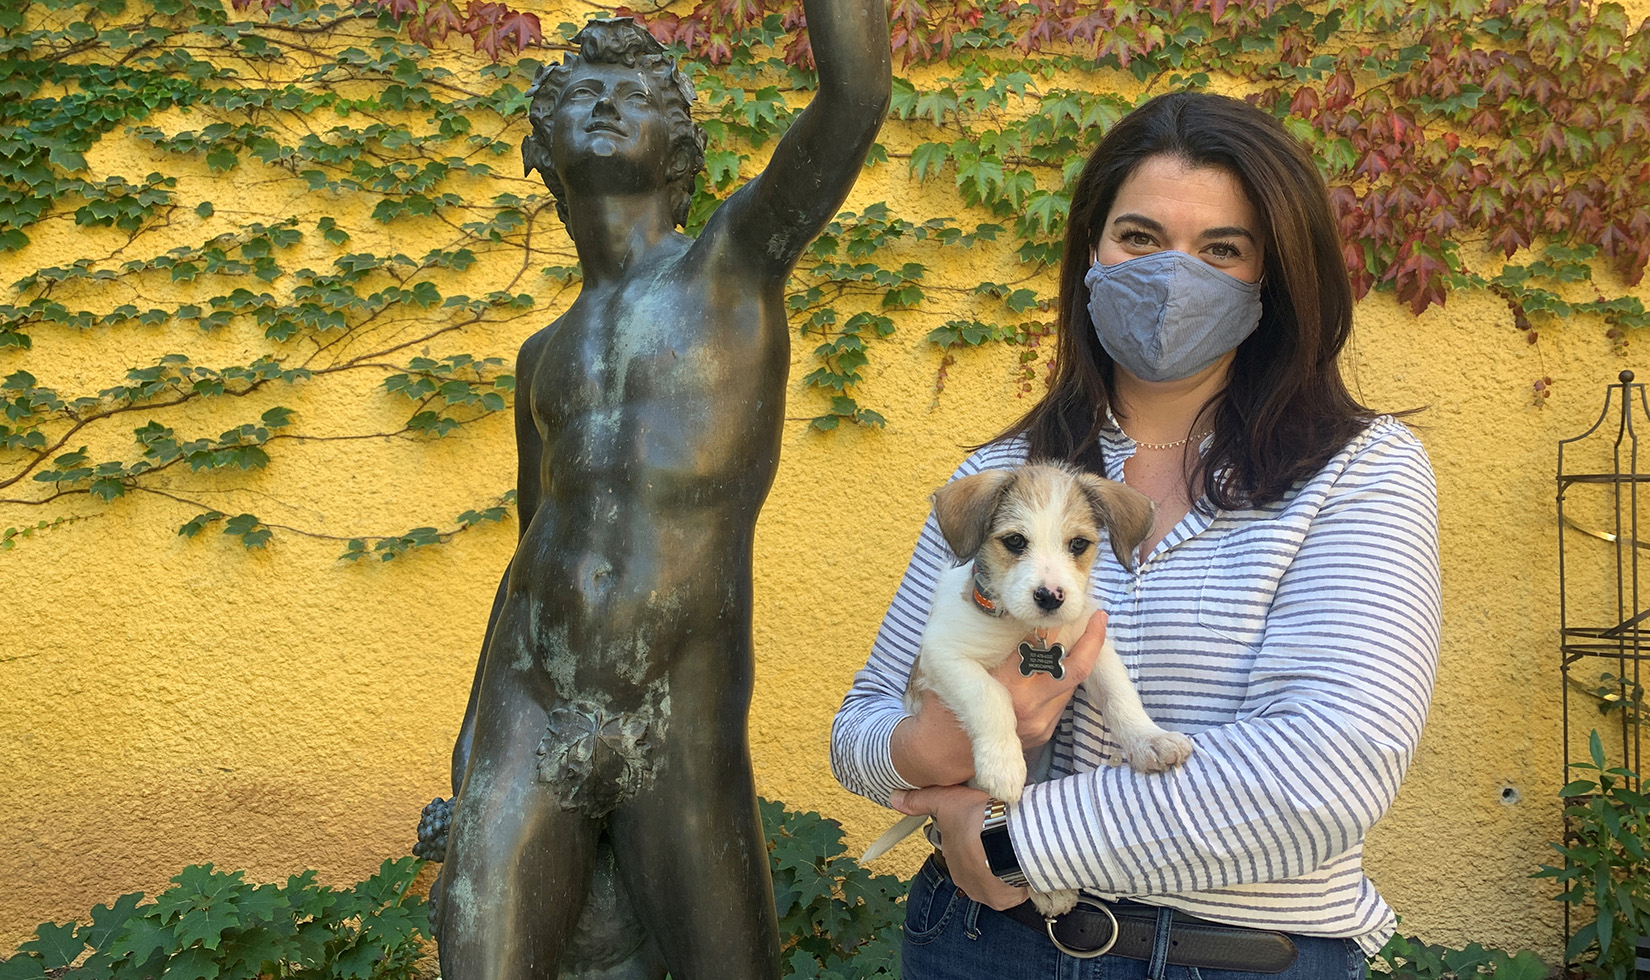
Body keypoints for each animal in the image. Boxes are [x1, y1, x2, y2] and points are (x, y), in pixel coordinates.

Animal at [864, 461, 1188, 910]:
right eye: (1015, 541)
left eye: (1078, 544)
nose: (1050, 596)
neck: (1026, 629)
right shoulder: (945, 655)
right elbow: (991, 695)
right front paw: (1002, 764)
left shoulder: (1092, 649)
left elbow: (1121, 697)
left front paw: (1149, 740)